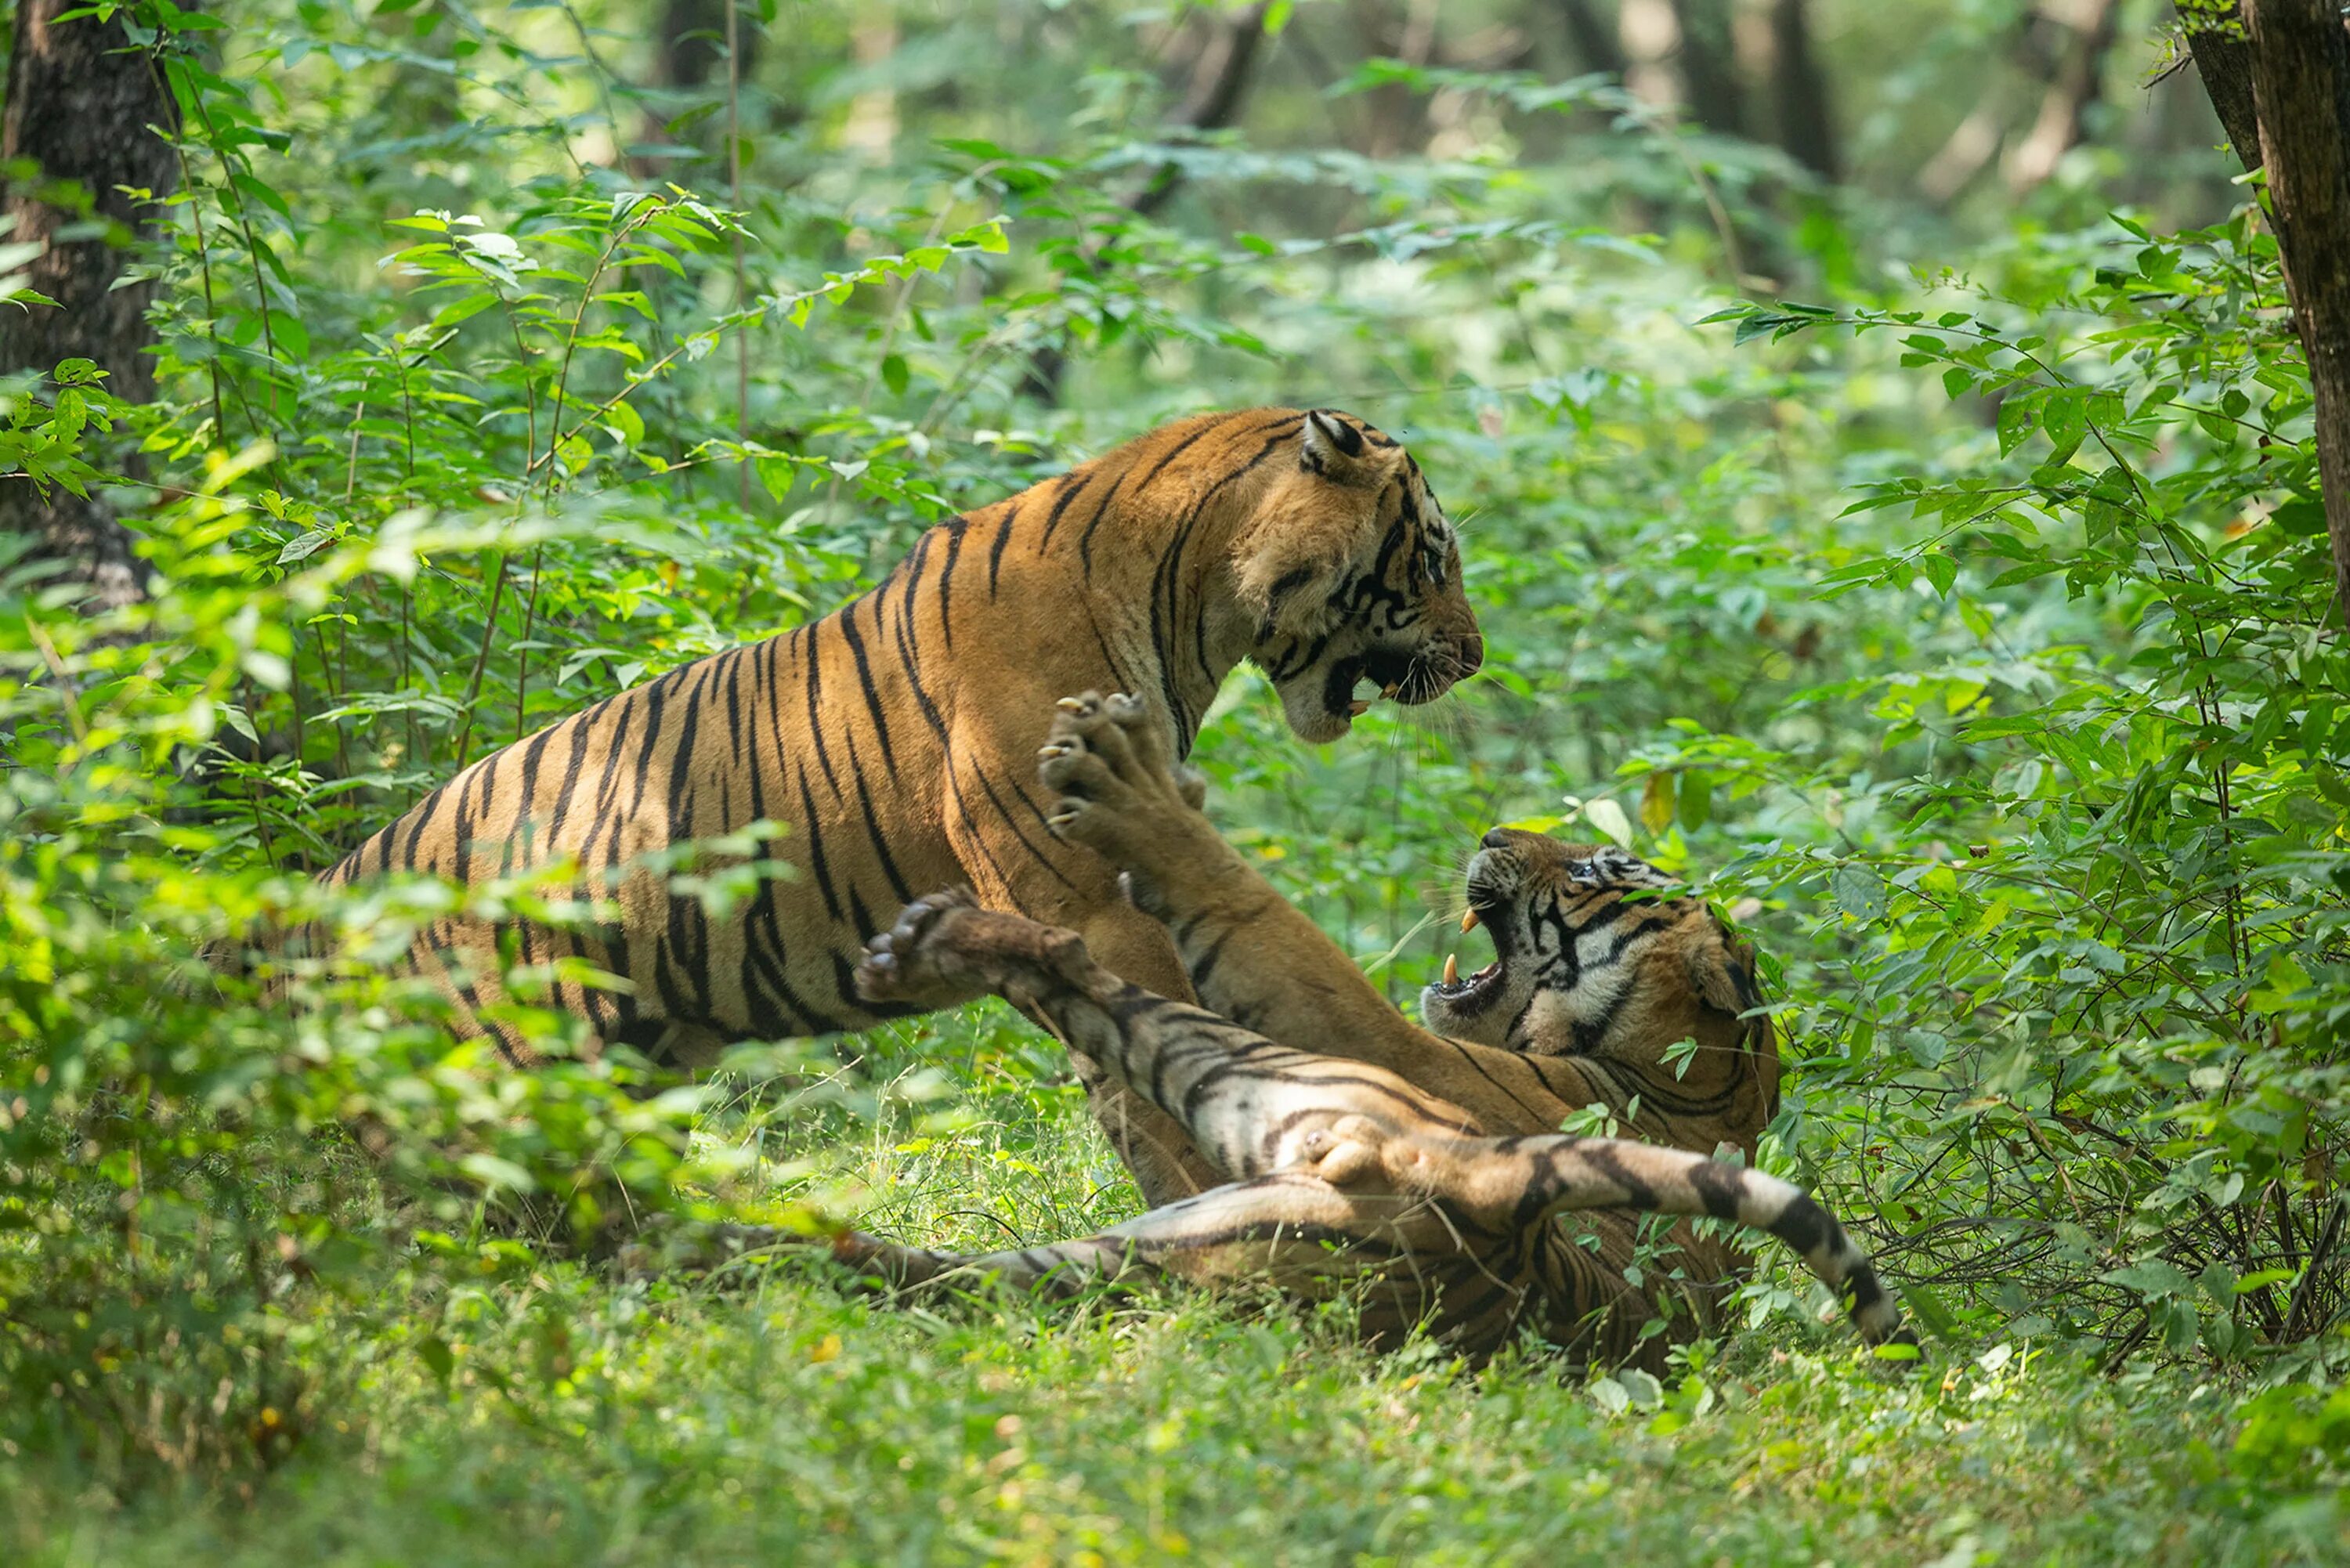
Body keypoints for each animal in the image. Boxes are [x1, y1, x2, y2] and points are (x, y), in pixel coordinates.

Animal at [320, 404, 1476, 1203]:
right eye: (1434, 554)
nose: (1472, 660)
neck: (1196, 603)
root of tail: (330, 891)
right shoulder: (1089, 899)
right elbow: (1156, 1058)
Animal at [827, 695, 1908, 1363]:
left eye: (1594, 869)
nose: (1491, 833)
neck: (1698, 1091)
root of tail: (1495, 1195)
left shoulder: (1396, 1043)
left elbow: (1261, 920)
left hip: (1262, 1098)